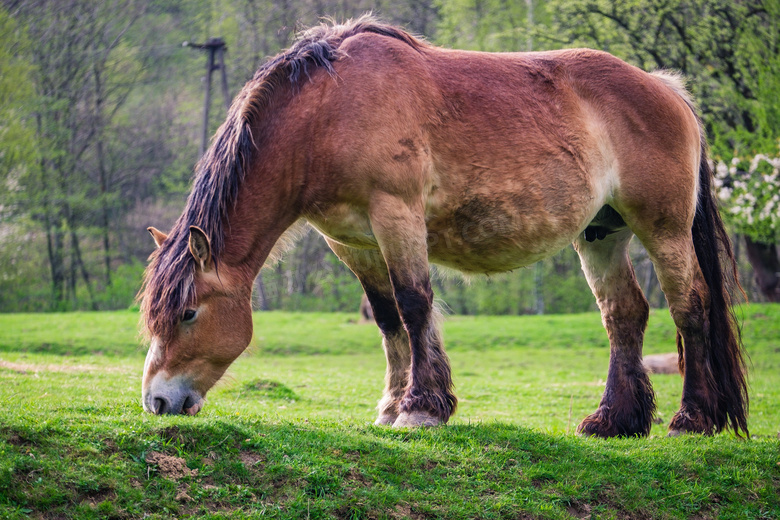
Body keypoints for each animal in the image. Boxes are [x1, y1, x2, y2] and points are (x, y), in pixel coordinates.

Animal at [140, 16, 748, 436]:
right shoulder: (352, 240)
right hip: (601, 233)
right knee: (623, 314)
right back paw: (613, 421)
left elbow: (414, 304)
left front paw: (421, 409)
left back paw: (693, 419)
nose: (157, 401)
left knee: (691, 307)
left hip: (663, 229)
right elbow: (388, 317)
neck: (329, 111)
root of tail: (666, 89)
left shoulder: (397, 215)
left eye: (189, 313)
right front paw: (392, 405)